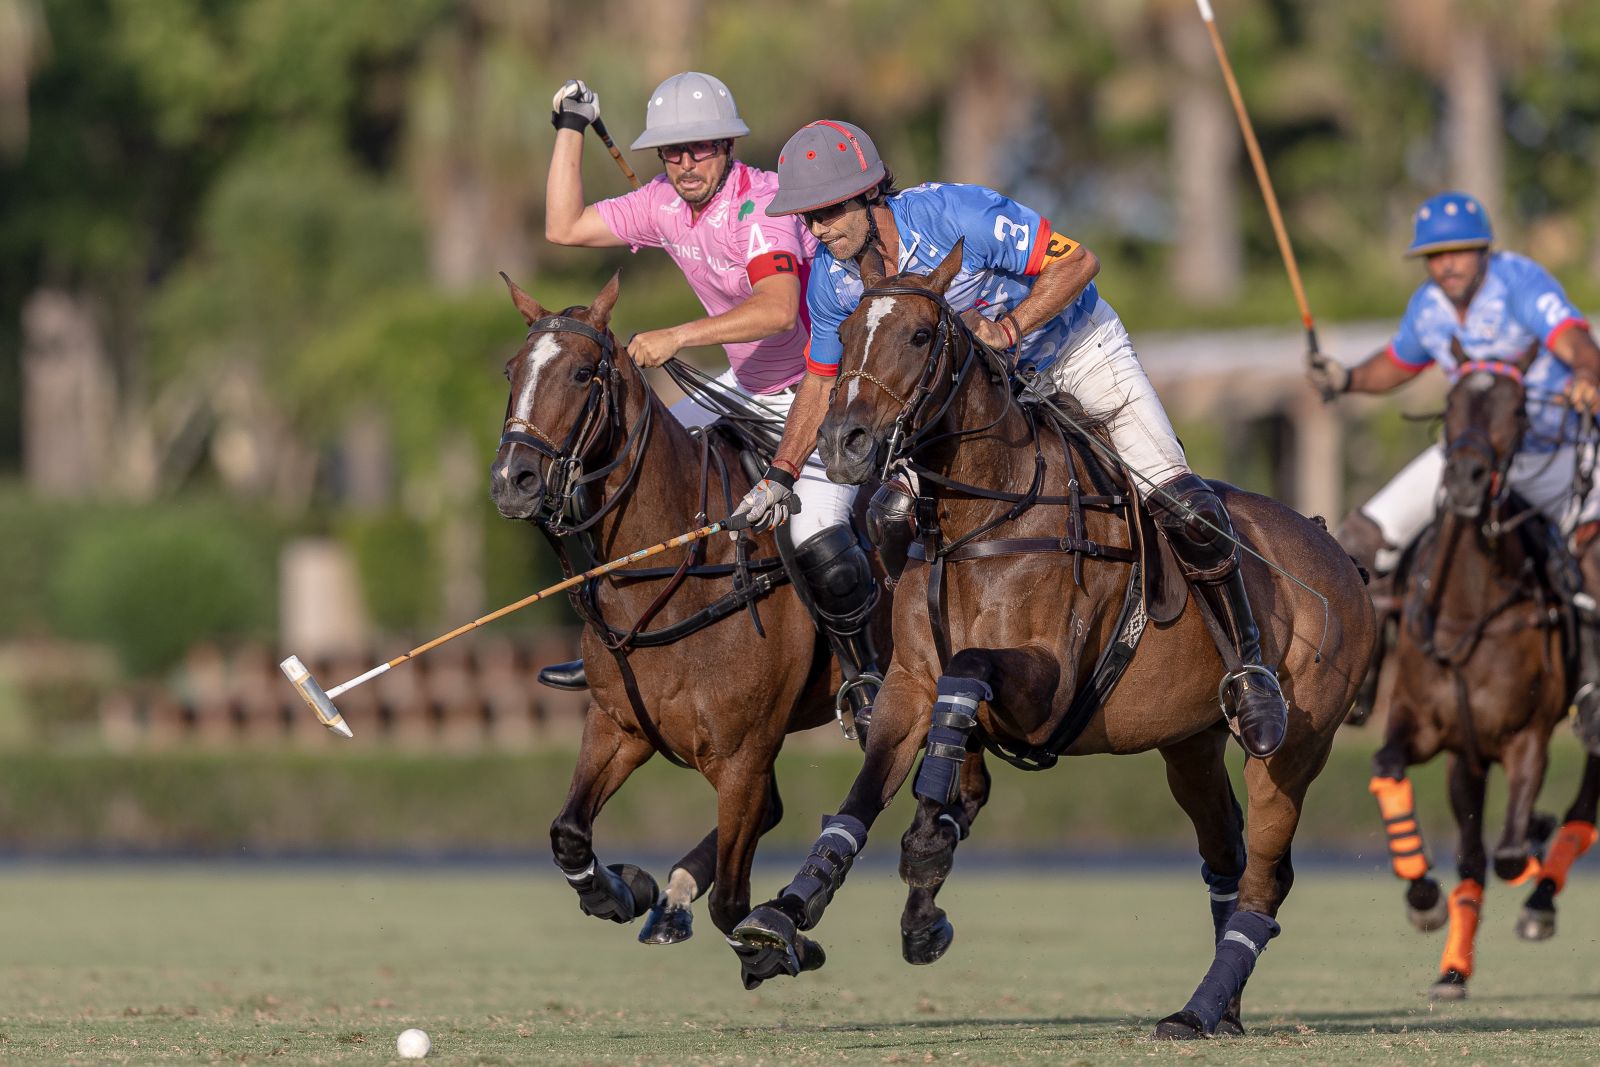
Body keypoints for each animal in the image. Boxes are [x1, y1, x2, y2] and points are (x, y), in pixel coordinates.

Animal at [487, 271, 884, 988]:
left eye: (584, 373)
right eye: (512, 370)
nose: (513, 481)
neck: (676, 571)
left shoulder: (743, 753)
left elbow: (733, 902)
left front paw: (784, 944)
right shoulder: (619, 726)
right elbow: (568, 833)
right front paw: (624, 890)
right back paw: (667, 900)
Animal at [729, 241, 1375, 1039]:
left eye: (919, 335)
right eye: (842, 337)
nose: (843, 445)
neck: (984, 515)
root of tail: (1340, 557)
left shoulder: (1048, 684)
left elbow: (967, 678)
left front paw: (928, 842)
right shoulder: (907, 682)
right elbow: (863, 793)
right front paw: (786, 914)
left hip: (1293, 748)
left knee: (1266, 877)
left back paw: (1194, 1010)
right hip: (1188, 745)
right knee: (1226, 857)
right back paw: (1221, 1009)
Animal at [1367, 349, 1600, 1000]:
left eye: (1519, 410)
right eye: (1450, 402)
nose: (1468, 480)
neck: (1468, 609)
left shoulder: (1527, 739)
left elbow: (1509, 851)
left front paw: (1534, 848)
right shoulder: (1442, 738)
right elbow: (1395, 774)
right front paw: (1427, 904)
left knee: (1582, 806)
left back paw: (1541, 899)